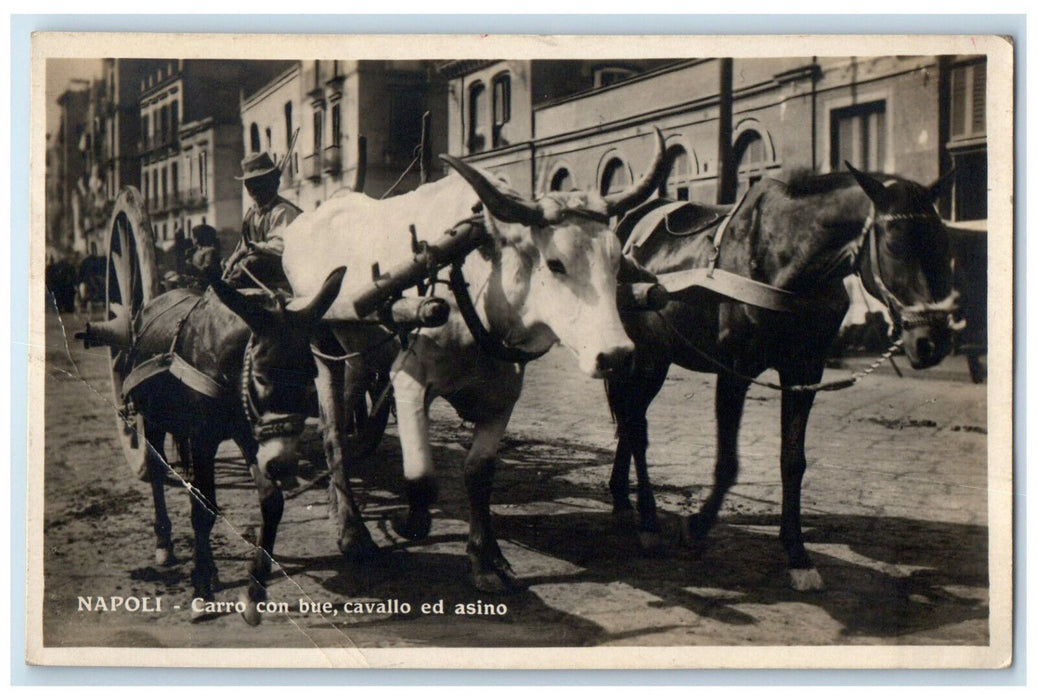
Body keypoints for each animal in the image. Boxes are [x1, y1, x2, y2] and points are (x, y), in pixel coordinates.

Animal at [605, 163, 954, 593]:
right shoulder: (735, 371)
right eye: (894, 246)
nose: (931, 343)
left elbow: (793, 461)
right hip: (648, 356)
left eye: (943, 244)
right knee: (635, 424)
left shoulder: (804, 371)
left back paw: (623, 500)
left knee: (629, 418)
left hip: (656, 355)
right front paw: (697, 525)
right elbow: (728, 462)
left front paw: (797, 554)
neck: (783, 256)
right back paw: (648, 520)